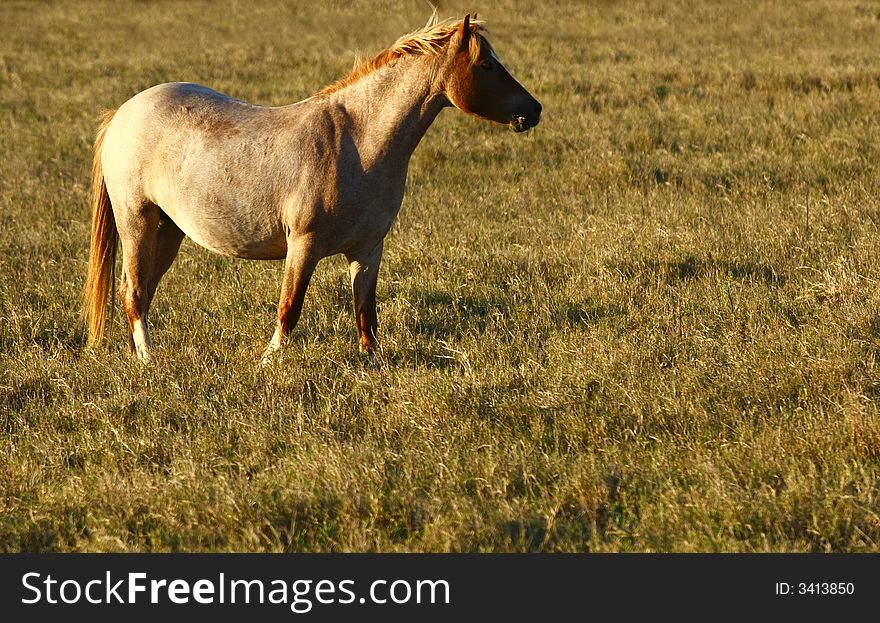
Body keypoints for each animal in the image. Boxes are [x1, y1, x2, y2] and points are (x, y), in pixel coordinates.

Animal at [81, 14, 544, 366]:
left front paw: (372, 367)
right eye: (486, 66)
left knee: (141, 290)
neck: (358, 142)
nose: (534, 110)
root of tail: (123, 112)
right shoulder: (303, 245)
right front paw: (269, 364)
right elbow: (289, 309)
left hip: (168, 230)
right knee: (134, 293)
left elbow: (365, 315)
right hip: (137, 222)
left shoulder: (368, 250)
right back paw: (149, 360)